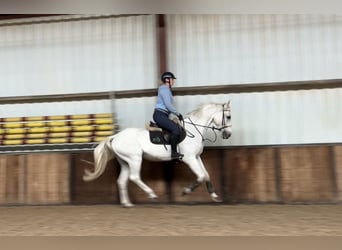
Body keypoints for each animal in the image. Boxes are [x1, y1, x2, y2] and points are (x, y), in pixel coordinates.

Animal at [83, 100, 232, 207]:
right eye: (228, 116)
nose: (228, 134)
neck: (195, 130)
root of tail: (115, 137)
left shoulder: (197, 157)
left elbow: (206, 174)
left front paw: (214, 196)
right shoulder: (189, 158)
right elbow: (201, 176)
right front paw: (186, 191)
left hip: (125, 162)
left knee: (122, 181)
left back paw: (127, 203)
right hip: (135, 159)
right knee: (134, 177)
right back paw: (152, 195)